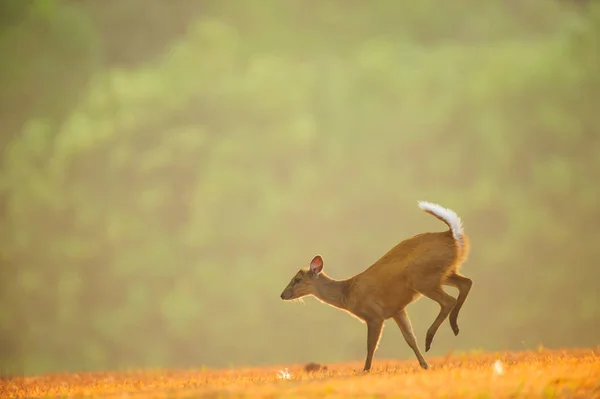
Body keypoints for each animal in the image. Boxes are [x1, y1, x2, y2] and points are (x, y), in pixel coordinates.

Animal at [278, 202, 472, 374]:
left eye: (297, 279)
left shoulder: (374, 315)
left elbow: (371, 346)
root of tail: (451, 234)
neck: (347, 294)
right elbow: (410, 338)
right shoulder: (397, 309)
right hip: (444, 273)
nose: (282, 295)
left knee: (448, 300)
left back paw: (431, 337)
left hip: (422, 278)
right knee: (467, 282)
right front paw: (425, 365)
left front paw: (365, 369)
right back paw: (453, 328)